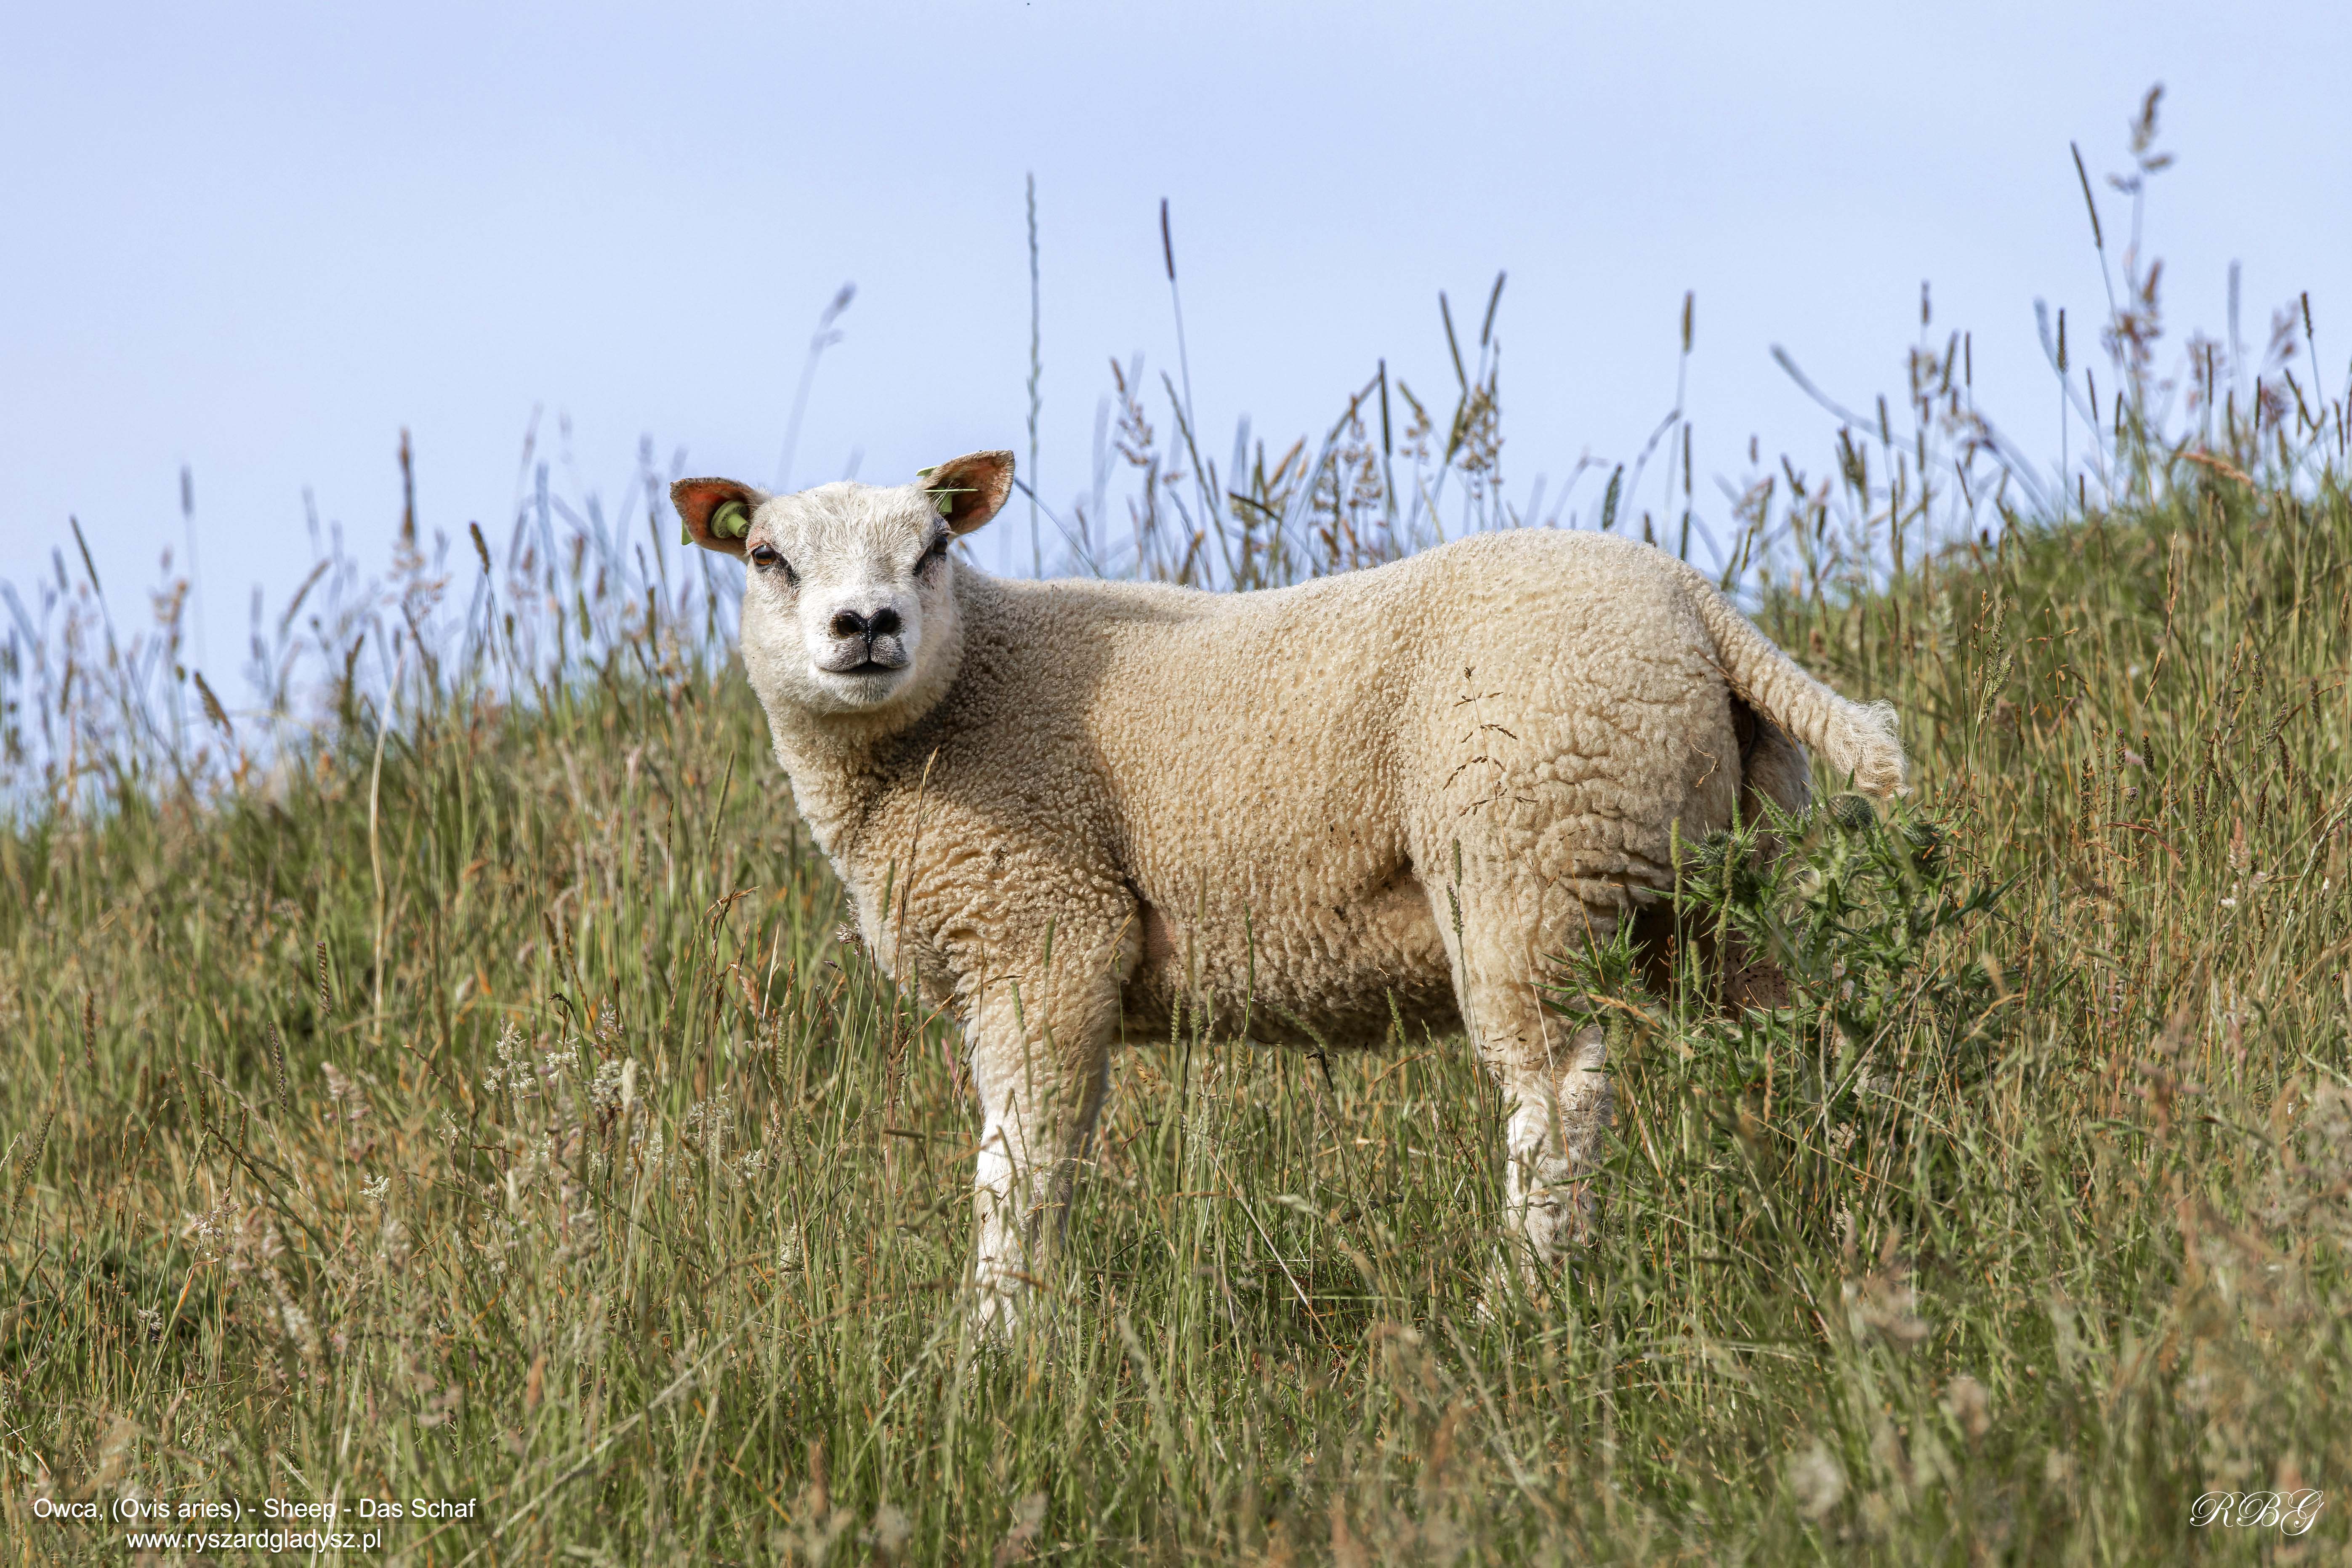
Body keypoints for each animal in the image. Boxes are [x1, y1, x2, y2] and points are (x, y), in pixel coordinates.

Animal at [675, 450, 1906, 1329]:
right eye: (767, 557)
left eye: (933, 547)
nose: (866, 626)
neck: (958, 701)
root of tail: (1696, 603)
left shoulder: (1047, 933)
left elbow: (1020, 1166)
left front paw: (995, 1345)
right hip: (1711, 880)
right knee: (1789, 1035)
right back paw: (1828, 1208)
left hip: (1524, 856)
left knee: (1558, 1094)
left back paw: (1511, 1310)